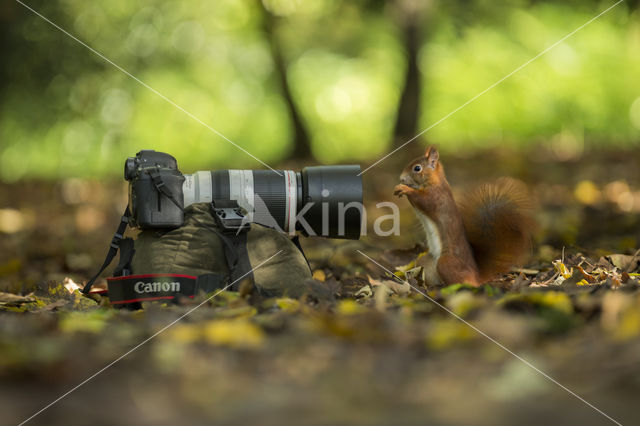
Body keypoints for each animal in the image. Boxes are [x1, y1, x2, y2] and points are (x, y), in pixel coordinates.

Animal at [392, 146, 532, 286]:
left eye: (417, 168)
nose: (401, 178)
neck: (435, 181)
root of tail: (477, 276)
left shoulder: (436, 196)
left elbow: (423, 200)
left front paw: (404, 189)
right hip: (426, 261)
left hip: (446, 263)